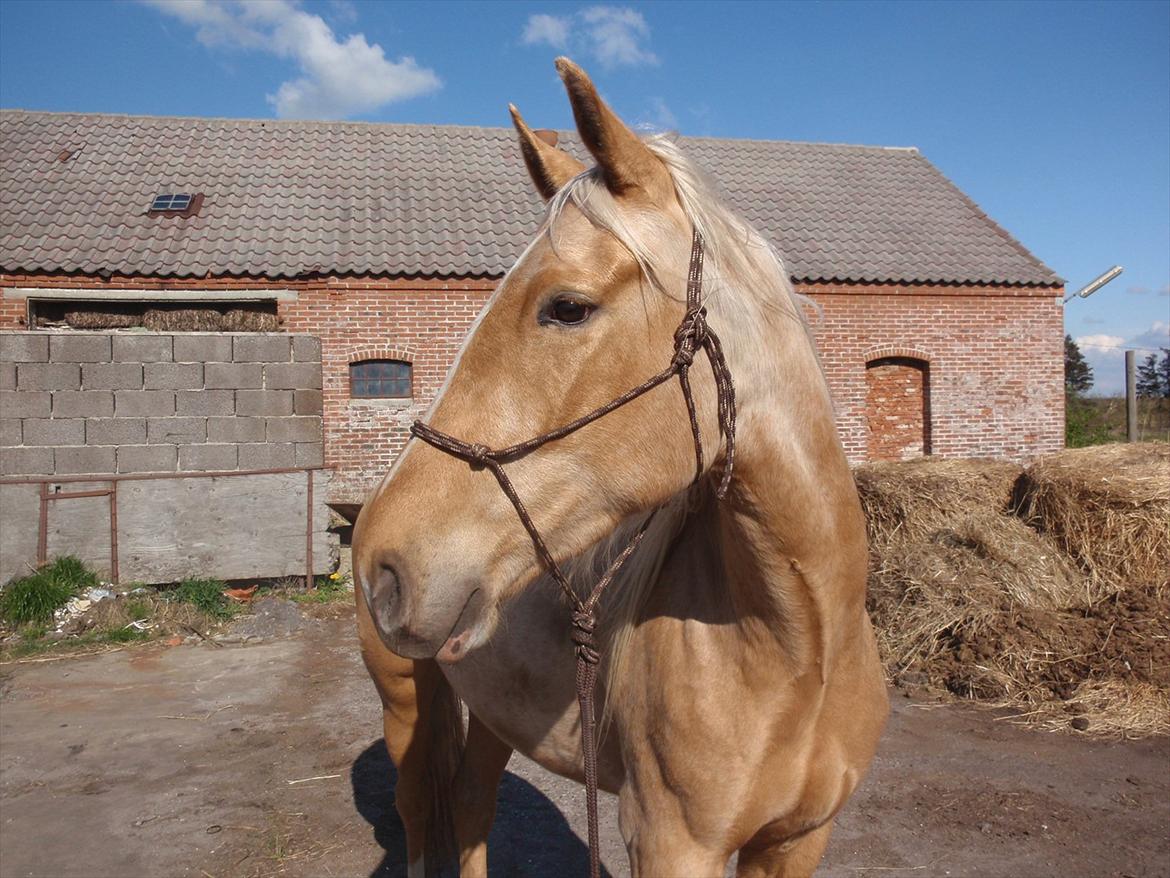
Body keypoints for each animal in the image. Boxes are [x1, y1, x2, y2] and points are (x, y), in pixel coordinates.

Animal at [353, 56, 884, 878]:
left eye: (567, 307)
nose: (386, 565)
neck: (802, 648)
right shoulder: (672, 844)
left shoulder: (799, 841)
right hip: (406, 699)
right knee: (419, 809)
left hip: (496, 712)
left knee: (471, 807)